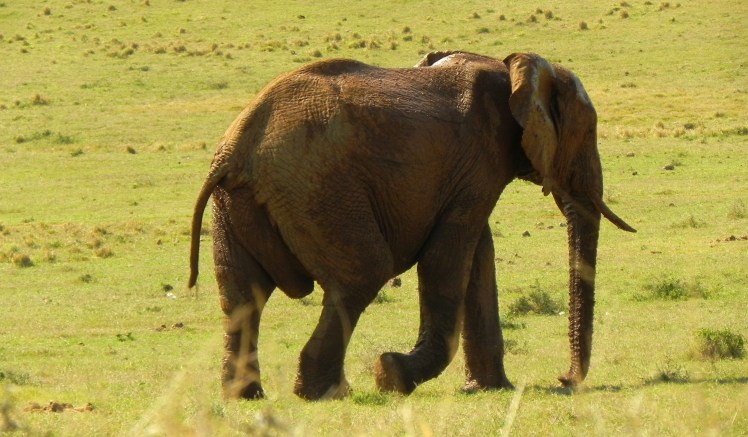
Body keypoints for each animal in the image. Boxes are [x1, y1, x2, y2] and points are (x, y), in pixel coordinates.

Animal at [188, 51, 636, 400]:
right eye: (589, 131)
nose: (564, 379)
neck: (513, 68)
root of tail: (236, 147)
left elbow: (478, 258)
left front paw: (490, 389)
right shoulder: (480, 159)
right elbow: (448, 260)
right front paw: (393, 374)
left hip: (239, 202)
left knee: (243, 295)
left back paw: (246, 396)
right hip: (317, 189)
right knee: (361, 274)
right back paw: (326, 392)